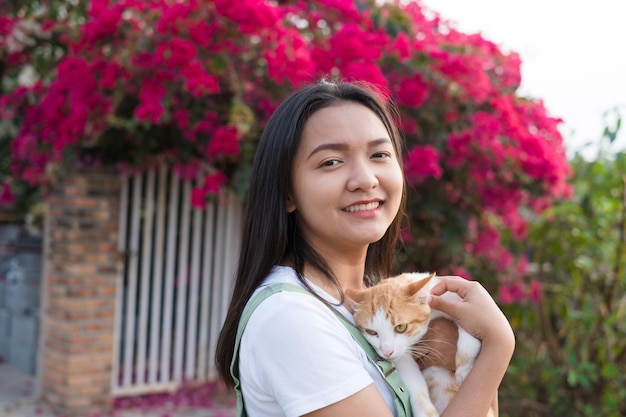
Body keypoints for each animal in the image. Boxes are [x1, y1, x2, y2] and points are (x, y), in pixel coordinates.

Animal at [344, 272, 480, 414]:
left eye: (400, 327)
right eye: (371, 332)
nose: (387, 352)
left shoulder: (451, 299)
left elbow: (469, 321)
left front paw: (465, 367)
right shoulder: (402, 356)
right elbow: (413, 383)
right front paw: (425, 410)